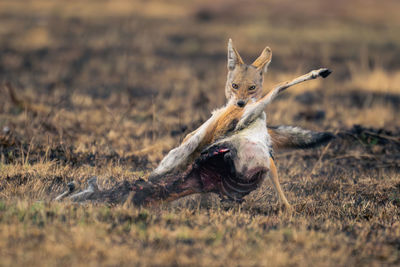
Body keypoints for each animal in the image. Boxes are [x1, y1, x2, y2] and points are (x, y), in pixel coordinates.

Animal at [55, 39, 332, 209]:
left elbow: (278, 184)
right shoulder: (242, 120)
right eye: (235, 85)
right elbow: (281, 85)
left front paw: (286, 208)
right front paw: (315, 72)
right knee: (148, 177)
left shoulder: (264, 149)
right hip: (178, 155)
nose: (240, 103)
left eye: (251, 87)